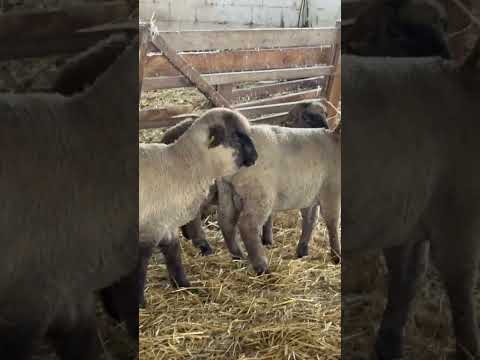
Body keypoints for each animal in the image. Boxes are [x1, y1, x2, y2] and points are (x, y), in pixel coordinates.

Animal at [138, 108, 258, 302]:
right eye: (236, 136)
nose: (256, 157)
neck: (185, 165)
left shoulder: (167, 225)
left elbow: (174, 255)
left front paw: (184, 286)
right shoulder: (148, 229)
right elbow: (140, 268)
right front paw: (139, 303)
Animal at [344, 37, 480, 360]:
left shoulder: (405, 215)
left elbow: (407, 278)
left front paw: (389, 345)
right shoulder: (458, 216)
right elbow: (462, 288)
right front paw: (469, 351)